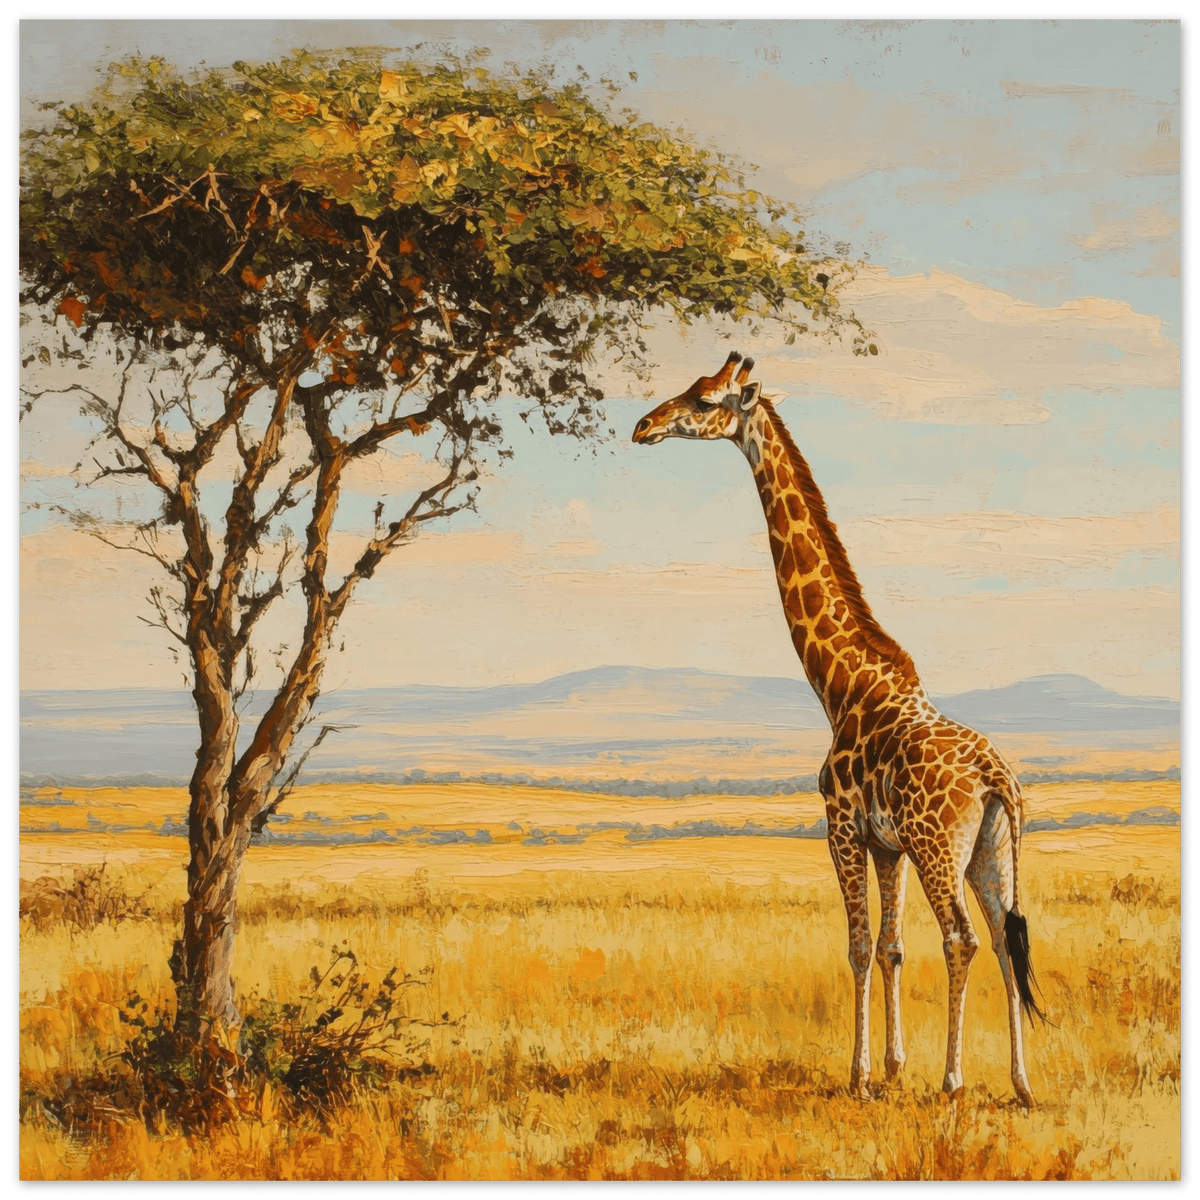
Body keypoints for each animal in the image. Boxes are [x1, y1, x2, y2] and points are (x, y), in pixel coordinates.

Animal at [632, 351, 1044, 1106]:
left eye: (704, 399)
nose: (643, 425)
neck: (841, 682)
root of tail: (997, 777)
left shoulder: (842, 827)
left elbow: (856, 947)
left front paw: (860, 1078)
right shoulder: (888, 845)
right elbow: (890, 947)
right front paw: (893, 1067)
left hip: (942, 848)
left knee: (964, 939)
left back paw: (954, 1082)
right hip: (991, 850)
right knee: (1007, 939)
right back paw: (1022, 1086)